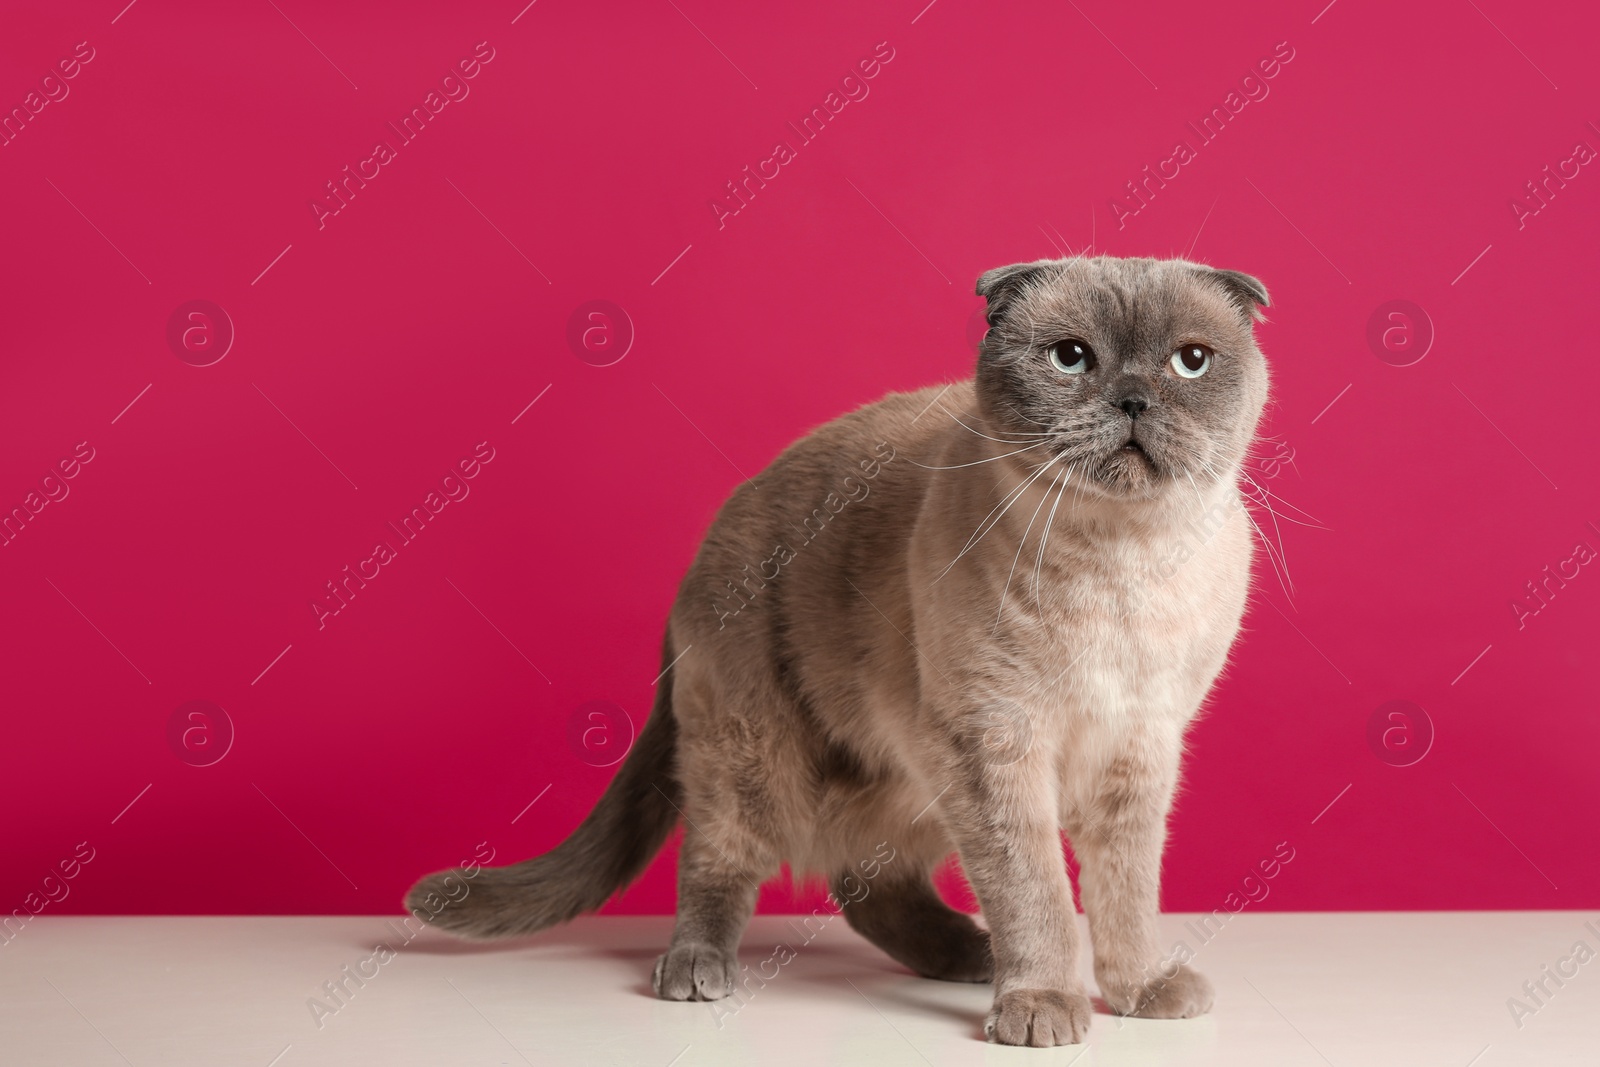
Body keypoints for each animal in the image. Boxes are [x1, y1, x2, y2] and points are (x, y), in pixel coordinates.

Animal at [406, 254, 1267, 1049]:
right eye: (1070, 357)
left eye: (1190, 361)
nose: (1133, 398)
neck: (1122, 568)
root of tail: (712, 535)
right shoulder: (997, 744)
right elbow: (1039, 893)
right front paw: (1042, 1005)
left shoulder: (1138, 748)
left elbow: (1127, 894)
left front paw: (1141, 991)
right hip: (757, 754)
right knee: (721, 861)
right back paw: (703, 968)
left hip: (912, 766)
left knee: (864, 879)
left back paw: (969, 953)